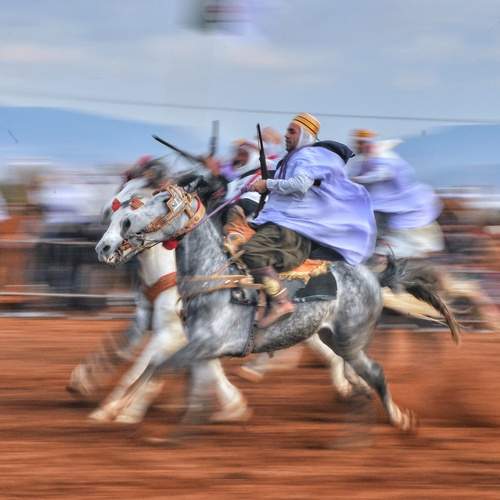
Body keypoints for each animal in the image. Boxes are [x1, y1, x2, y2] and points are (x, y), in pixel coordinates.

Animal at [116, 181, 460, 432]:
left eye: (164, 200)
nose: (125, 224)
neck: (218, 277)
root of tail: (373, 277)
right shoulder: (202, 347)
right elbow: (183, 377)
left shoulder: (207, 343)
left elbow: (160, 368)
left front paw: (125, 409)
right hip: (331, 338)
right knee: (358, 374)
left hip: (351, 340)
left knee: (374, 372)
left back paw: (396, 418)